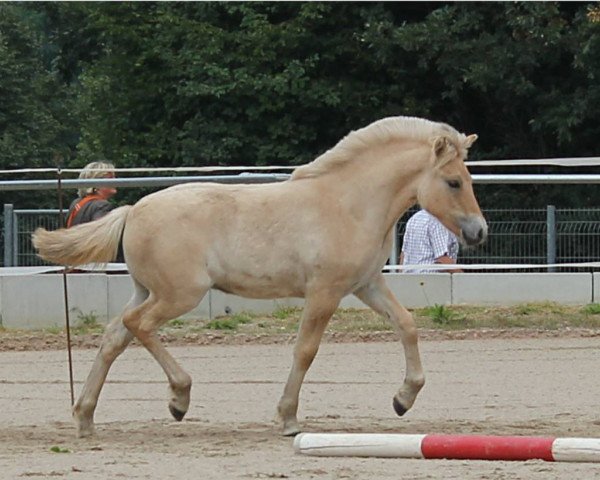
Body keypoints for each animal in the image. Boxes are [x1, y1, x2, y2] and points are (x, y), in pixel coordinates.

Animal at [31, 116, 488, 438]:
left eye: (466, 179)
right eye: (453, 181)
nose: (479, 232)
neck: (348, 204)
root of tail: (133, 211)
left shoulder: (366, 285)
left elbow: (407, 325)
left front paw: (403, 399)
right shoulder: (324, 292)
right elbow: (305, 350)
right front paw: (288, 418)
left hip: (146, 290)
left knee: (114, 336)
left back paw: (85, 418)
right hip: (179, 295)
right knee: (137, 326)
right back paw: (179, 397)